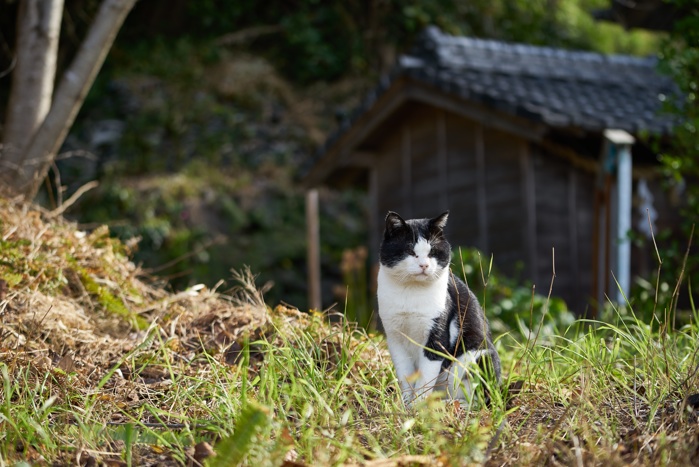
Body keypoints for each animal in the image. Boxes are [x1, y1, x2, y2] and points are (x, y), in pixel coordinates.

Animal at [380, 212, 500, 406]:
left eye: (432, 252)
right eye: (410, 252)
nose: (424, 265)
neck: (411, 292)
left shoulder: (437, 337)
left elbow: (425, 378)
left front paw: (418, 407)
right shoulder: (394, 338)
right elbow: (405, 377)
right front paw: (405, 405)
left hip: (480, 355)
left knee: (484, 399)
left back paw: (454, 404)